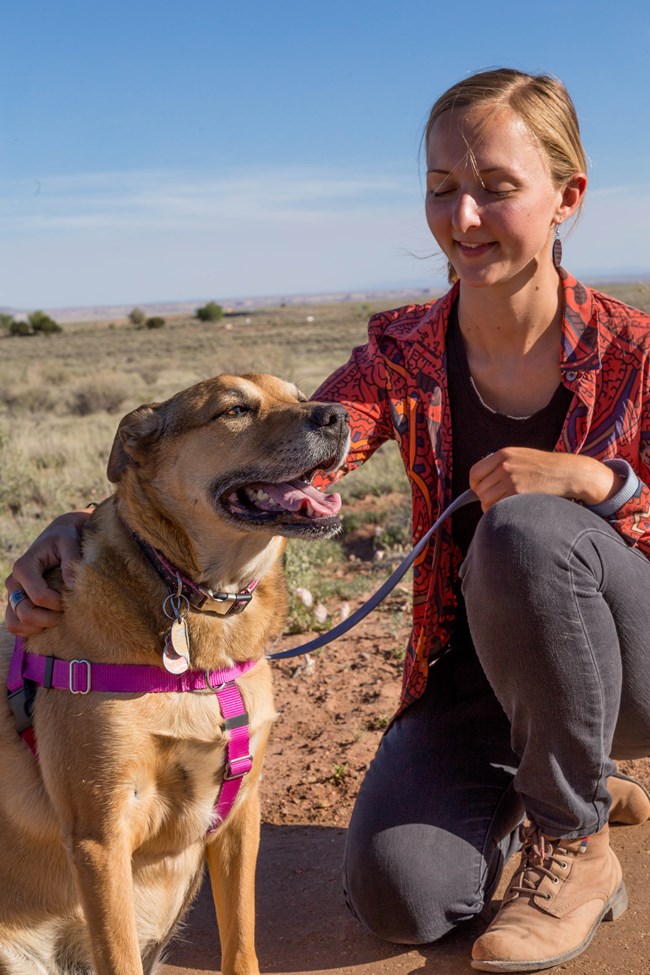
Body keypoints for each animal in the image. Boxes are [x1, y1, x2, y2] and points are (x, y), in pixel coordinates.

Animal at [0, 370, 350, 972]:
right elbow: (118, 955)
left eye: (301, 396)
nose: (339, 415)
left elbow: (241, 942)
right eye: (234, 410)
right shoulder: (100, 838)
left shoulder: (241, 815)